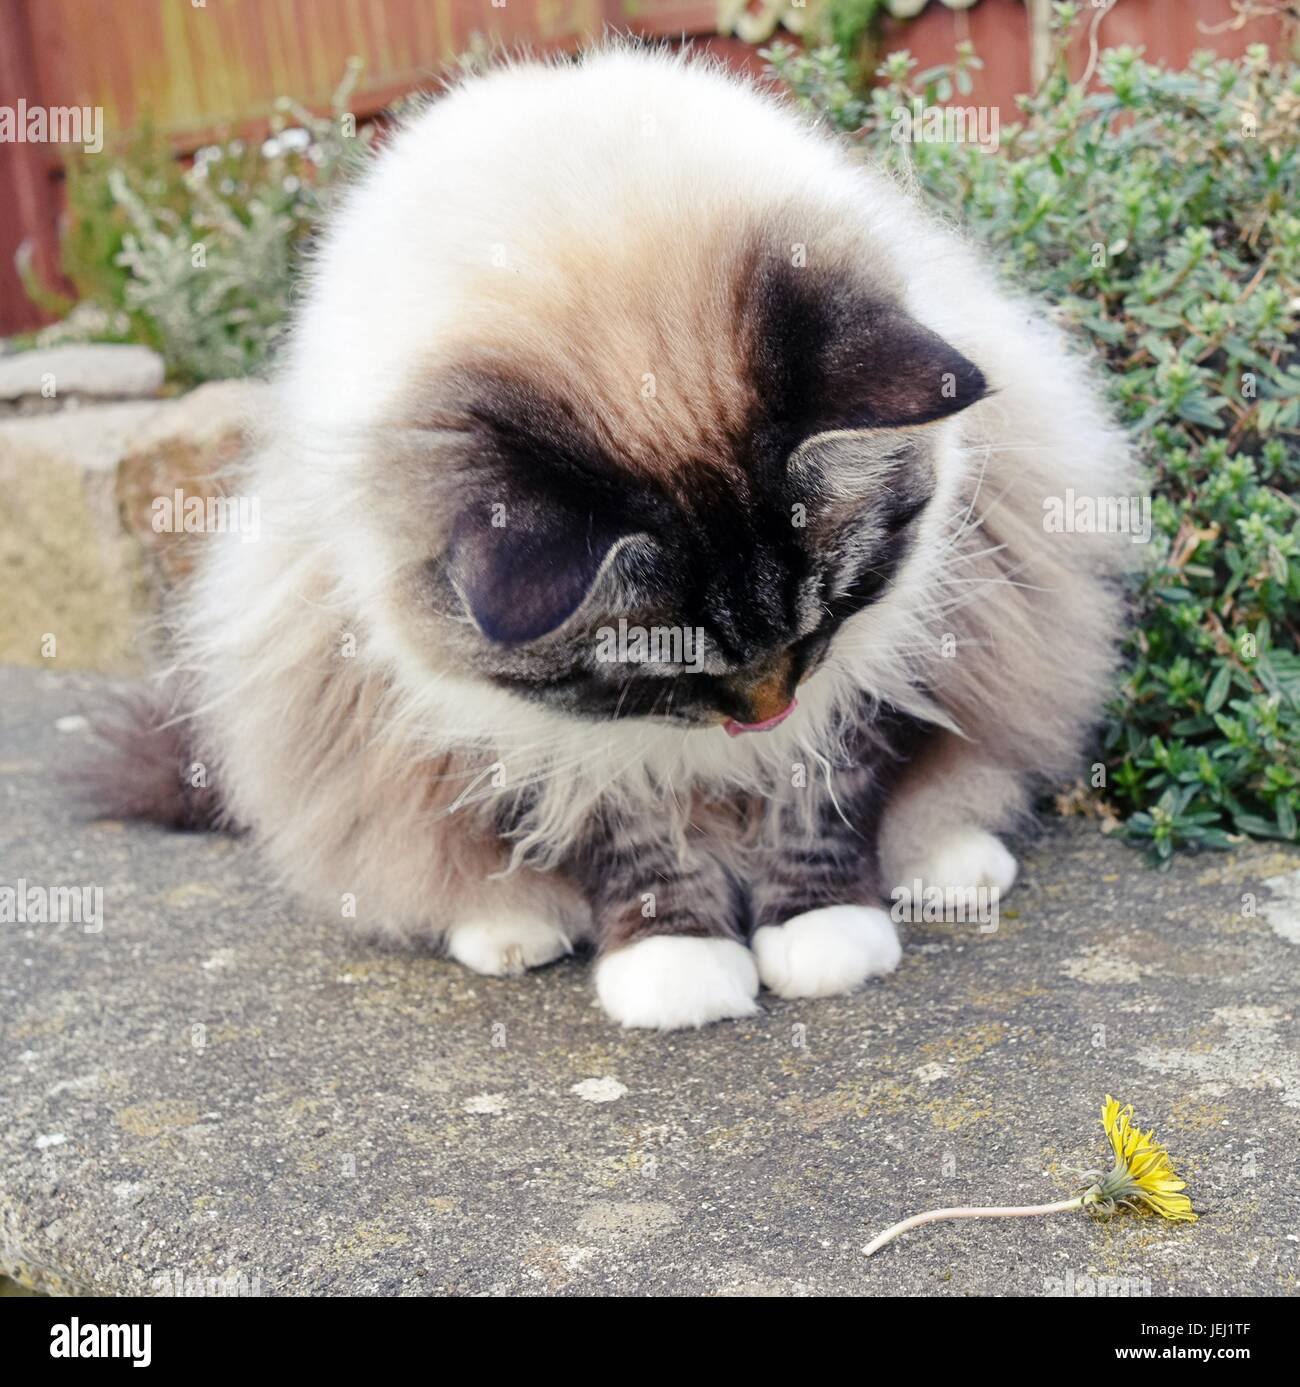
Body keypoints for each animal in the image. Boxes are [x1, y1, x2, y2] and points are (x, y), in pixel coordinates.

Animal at [101, 43, 1132, 1031]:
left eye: (825, 614)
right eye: (654, 668)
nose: (766, 714)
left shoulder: (881, 655)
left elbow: (824, 796)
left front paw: (823, 935)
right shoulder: (532, 729)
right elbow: (631, 847)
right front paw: (679, 969)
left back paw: (949, 866)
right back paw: (511, 927)